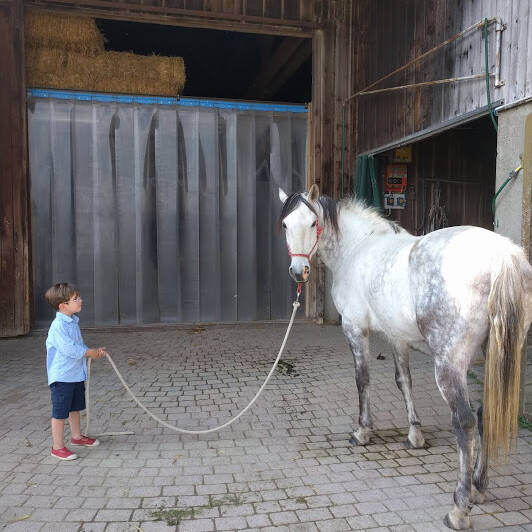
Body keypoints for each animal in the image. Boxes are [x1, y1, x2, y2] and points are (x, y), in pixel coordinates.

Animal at [278, 184, 532, 528]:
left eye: (313, 223)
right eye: (285, 225)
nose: (298, 271)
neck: (358, 248)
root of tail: (502, 256)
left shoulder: (355, 329)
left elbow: (363, 380)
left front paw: (363, 431)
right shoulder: (396, 335)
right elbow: (404, 381)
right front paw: (415, 435)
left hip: (450, 364)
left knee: (465, 422)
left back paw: (460, 507)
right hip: (494, 357)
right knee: (484, 414)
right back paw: (479, 488)